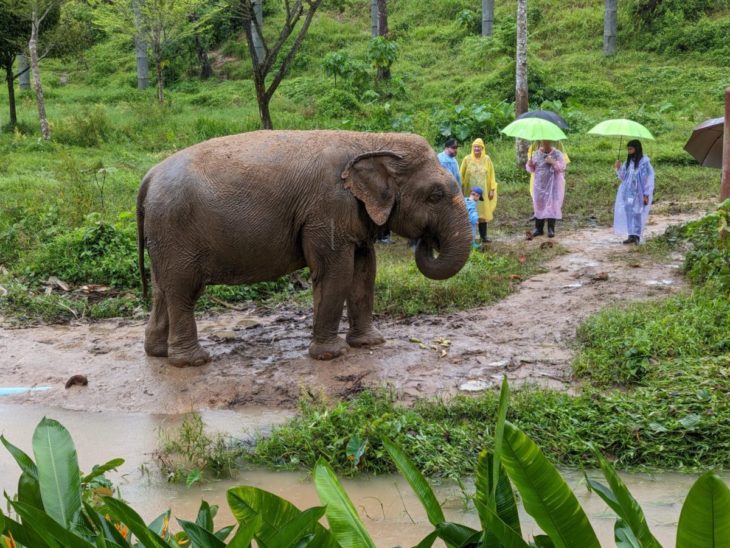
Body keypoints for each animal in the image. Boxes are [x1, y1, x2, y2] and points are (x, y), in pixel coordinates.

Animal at [136, 130, 470, 366]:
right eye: (435, 195)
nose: (428, 241)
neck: (370, 140)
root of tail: (149, 176)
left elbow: (365, 272)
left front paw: (370, 344)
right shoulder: (327, 208)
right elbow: (336, 272)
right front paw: (330, 355)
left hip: (163, 235)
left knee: (162, 289)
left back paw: (157, 353)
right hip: (175, 231)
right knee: (184, 290)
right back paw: (192, 361)